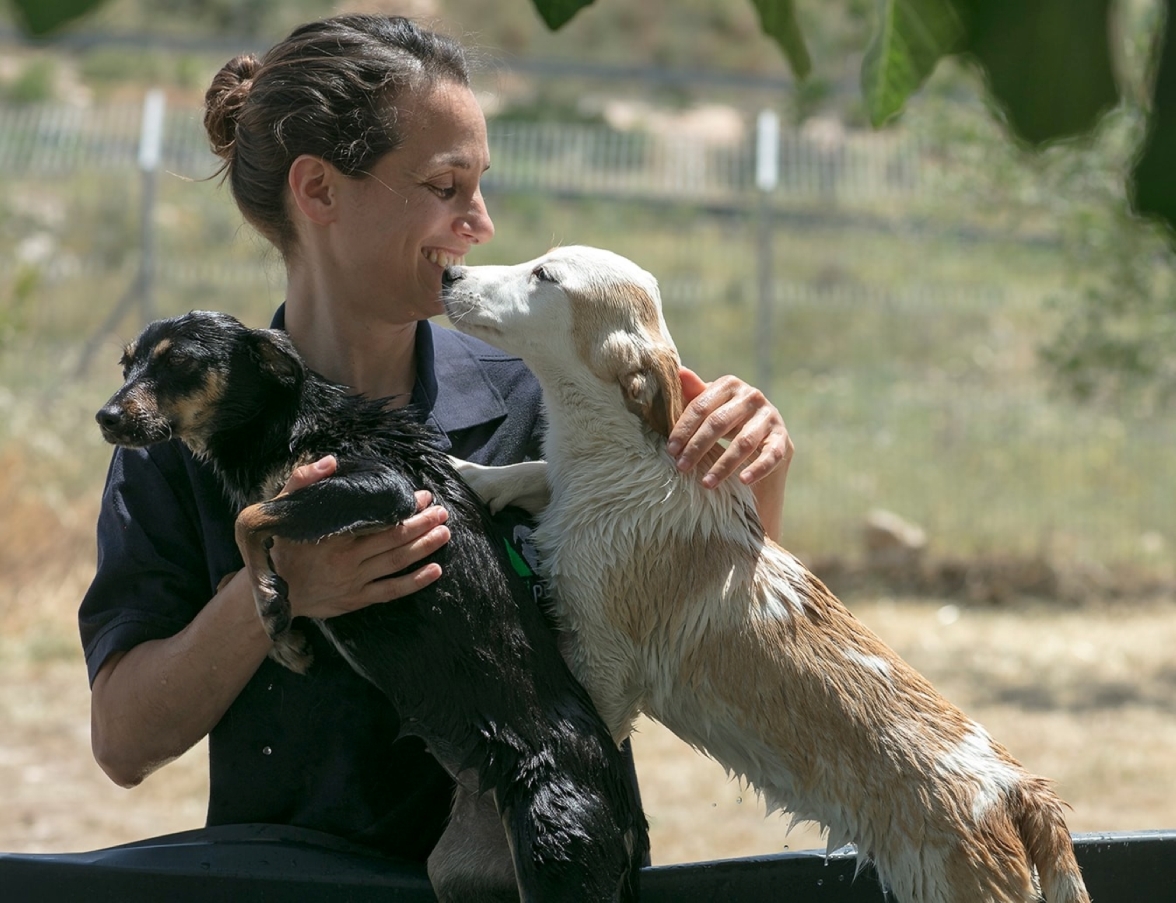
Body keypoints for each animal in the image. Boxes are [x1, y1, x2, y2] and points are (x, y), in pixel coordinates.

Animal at [92, 310, 649, 903]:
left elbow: (251, 517)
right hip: (462, 872)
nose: (105, 417)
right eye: (127, 365)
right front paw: (274, 620)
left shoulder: (387, 488)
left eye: (180, 362)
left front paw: (270, 603)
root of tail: (624, 813)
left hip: (558, 855)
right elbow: (241, 554)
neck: (290, 421)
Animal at [442, 246, 1091, 903]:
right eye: (539, 260)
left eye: (544, 277)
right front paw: (471, 473)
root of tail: (1018, 790)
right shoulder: (565, 492)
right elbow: (537, 470)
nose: (450, 274)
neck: (618, 462)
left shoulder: (607, 665)